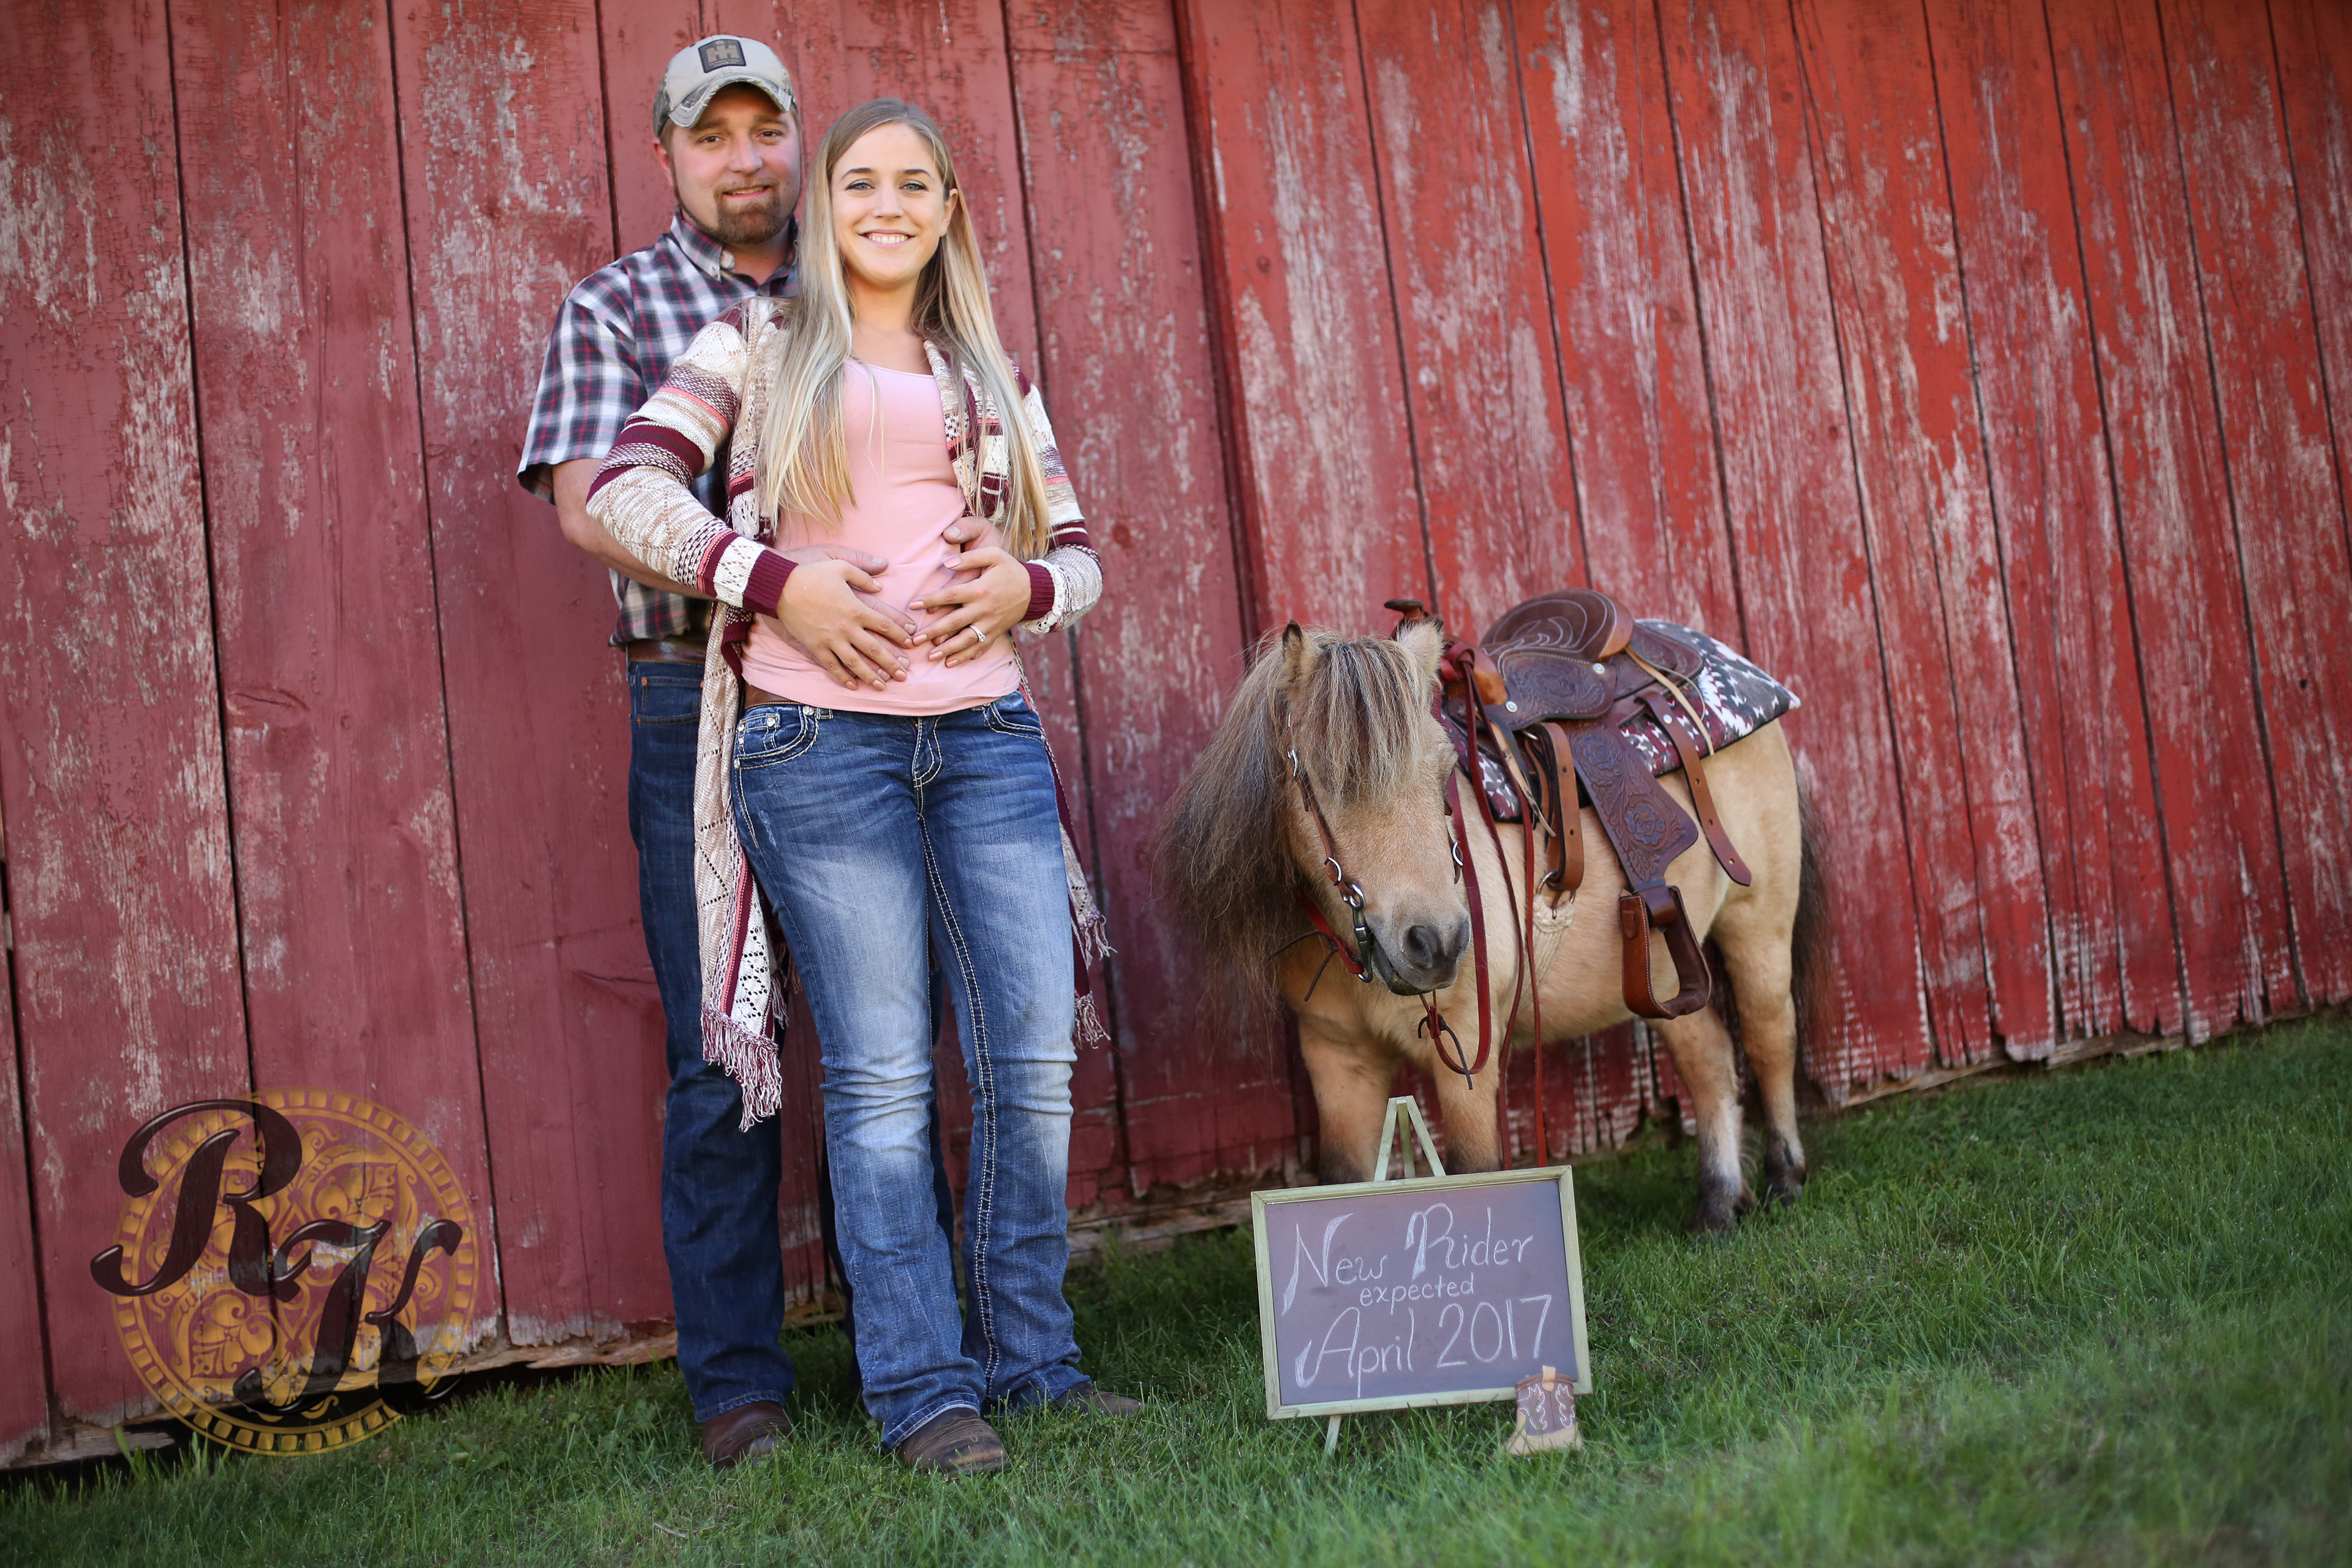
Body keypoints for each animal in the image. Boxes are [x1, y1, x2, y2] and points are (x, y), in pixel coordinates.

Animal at [1157, 615, 1820, 1233]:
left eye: (1446, 768)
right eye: (1326, 780)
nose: (1437, 942)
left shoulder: (1471, 1050)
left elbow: (1474, 1171)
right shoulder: (1337, 1059)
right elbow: (1342, 1178)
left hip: (1759, 925)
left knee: (1769, 1038)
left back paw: (1785, 1180)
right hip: (1659, 975)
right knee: (1709, 1058)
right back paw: (1717, 1205)